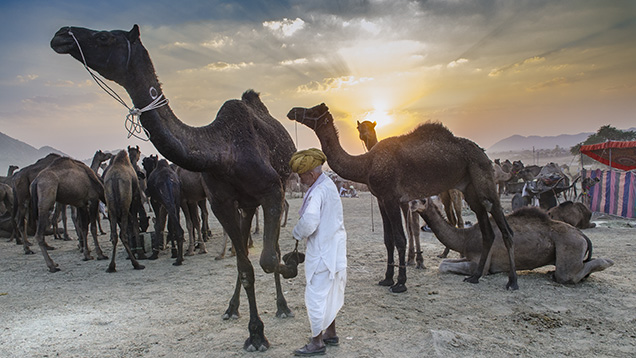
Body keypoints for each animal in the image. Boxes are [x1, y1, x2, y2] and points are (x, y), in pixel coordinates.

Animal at [288, 102, 516, 292]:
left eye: (313, 110)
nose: (293, 111)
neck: (366, 163)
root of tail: (484, 154)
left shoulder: (392, 197)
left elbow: (400, 238)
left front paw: (400, 283)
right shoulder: (381, 199)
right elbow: (388, 239)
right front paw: (387, 278)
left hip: (484, 179)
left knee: (503, 227)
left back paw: (512, 282)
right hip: (469, 188)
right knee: (486, 230)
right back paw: (475, 276)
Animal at [410, 197, 612, 284]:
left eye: (422, 200)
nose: (411, 203)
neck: (465, 237)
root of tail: (582, 235)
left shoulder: (481, 262)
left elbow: (444, 266)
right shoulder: (468, 255)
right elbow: (443, 263)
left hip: (570, 246)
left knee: (568, 275)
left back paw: (608, 262)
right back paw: (550, 272)